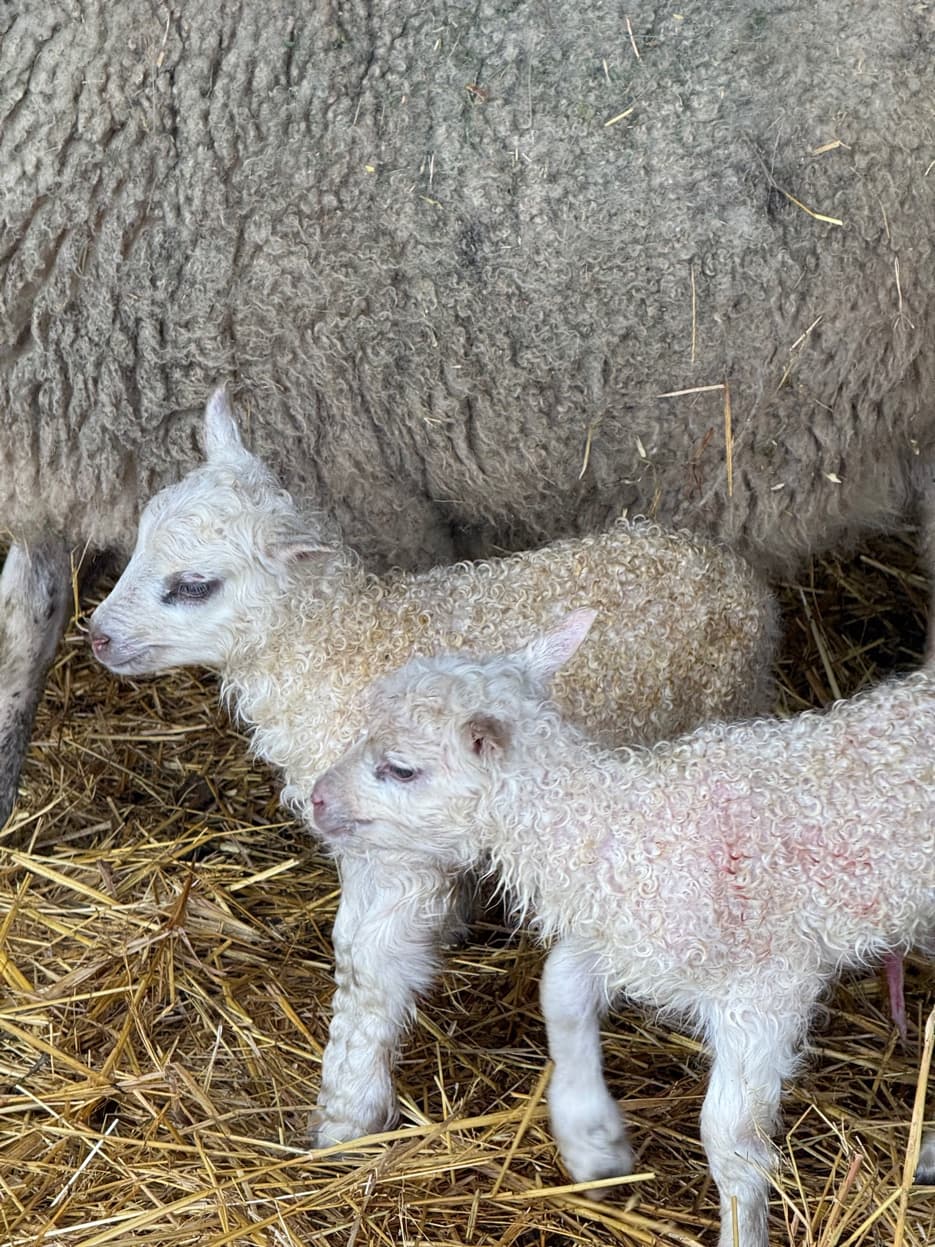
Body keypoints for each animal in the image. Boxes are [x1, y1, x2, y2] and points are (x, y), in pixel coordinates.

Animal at [88, 389, 778, 1150]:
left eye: (193, 585)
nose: (97, 637)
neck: (337, 647)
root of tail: (728, 566)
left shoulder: (396, 844)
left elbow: (366, 967)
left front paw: (347, 1115)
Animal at [309, 611, 935, 1246]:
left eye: (401, 769)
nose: (317, 799)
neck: (617, 828)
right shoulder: (622, 931)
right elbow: (559, 991)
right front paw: (593, 1143)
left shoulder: (766, 988)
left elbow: (730, 1138)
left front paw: (742, 1226)